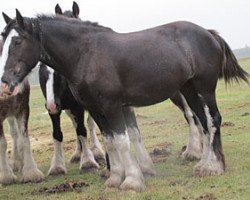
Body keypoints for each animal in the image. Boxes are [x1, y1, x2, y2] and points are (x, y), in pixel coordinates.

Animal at [0, 9, 248, 192]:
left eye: (18, 41)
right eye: (3, 40)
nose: (4, 82)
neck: (87, 54)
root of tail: (208, 33)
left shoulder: (111, 107)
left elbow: (121, 141)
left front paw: (132, 181)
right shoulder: (96, 109)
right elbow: (110, 142)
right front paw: (114, 178)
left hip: (204, 89)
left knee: (213, 120)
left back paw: (213, 166)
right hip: (189, 90)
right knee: (203, 123)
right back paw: (204, 164)